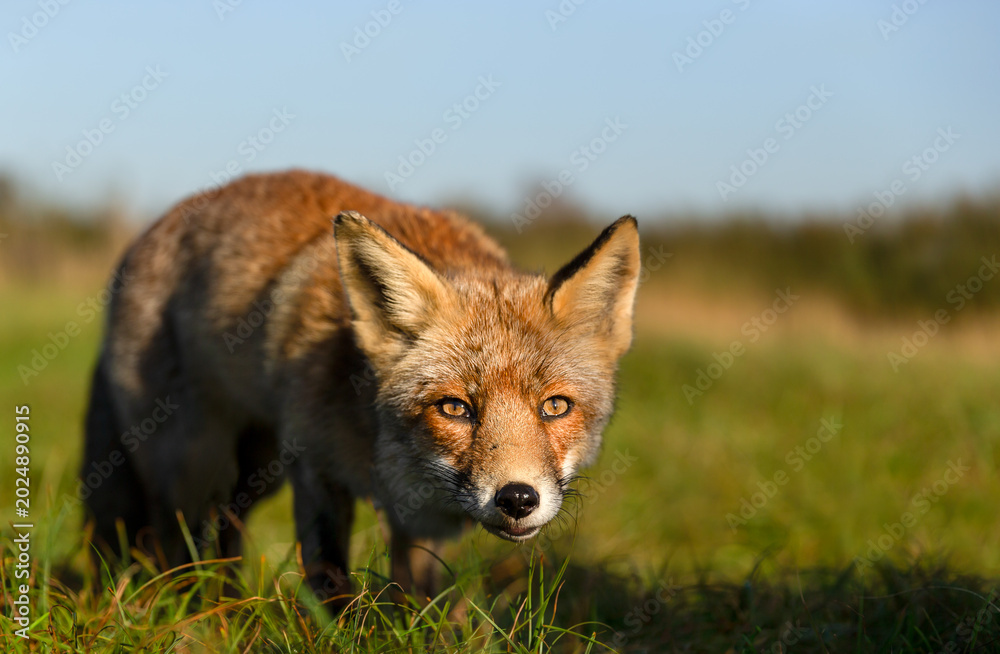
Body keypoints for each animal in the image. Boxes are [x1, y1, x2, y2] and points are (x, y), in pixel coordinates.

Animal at [81, 169, 640, 606]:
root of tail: (144, 236)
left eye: (555, 406)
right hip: (196, 464)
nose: (518, 499)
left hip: (255, 474)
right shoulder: (315, 470)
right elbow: (332, 584)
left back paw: (229, 606)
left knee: (224, 537)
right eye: (455, 408)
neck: (385, 451)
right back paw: (192, 615)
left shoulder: (420, 518)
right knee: (171, 544)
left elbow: (419, 599)